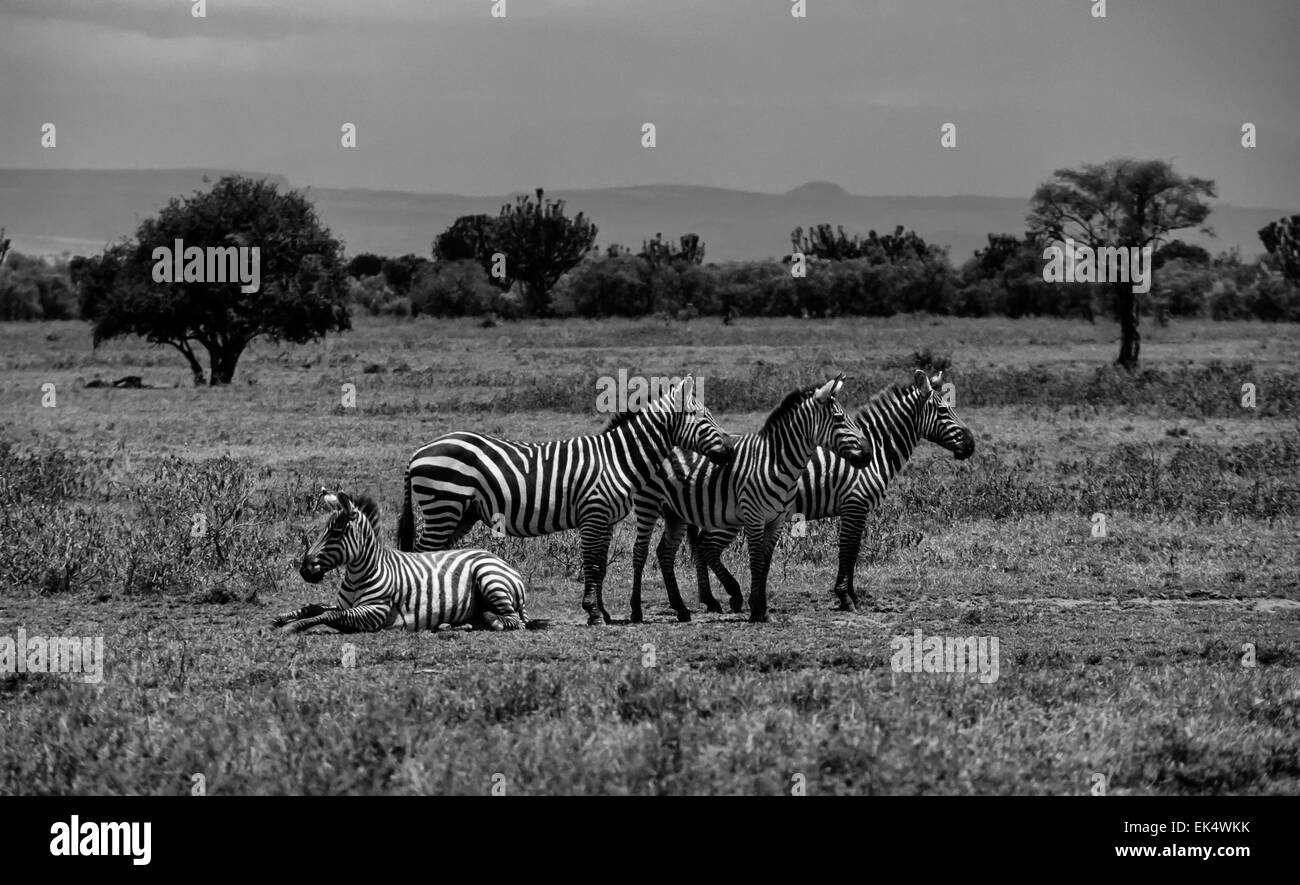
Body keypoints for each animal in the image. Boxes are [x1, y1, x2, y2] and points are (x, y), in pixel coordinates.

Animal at [274, 490, 539, 633]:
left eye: (336, 533)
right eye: (323, 531)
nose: (304, 570)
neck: (360, 572)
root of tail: (501, 561)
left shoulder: (374, 612)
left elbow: (327, 616)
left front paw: (292, 627)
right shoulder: (344, 605)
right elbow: (316, 608)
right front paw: (283, 617)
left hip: (490, 578)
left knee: (512, 621)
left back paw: (488, 619)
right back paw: (453, 625)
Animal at [398, 375, 734, 626]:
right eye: (704, 419)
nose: (730, 453)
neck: (617, 459)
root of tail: (418, 452)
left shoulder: (606, 520)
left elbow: (601, 566)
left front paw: (603, 612)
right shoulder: (594, 514)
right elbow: (592, 564)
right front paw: (594, 613)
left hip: (460, 513)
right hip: (443, 505)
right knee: (423, 554)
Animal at [630, 375, 869, 624]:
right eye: (839, 418)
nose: (868, 454)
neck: (776, 461)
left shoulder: (776, 521)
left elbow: (765, 563)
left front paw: (761, 607)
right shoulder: (754, 517)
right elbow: (755, 561)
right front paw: (755, 609)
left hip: (674, 511)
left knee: (665, 553)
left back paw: (681, 609)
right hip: (648, 503)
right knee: (640, 551)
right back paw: (637, 610)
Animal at [688, 369, 975, 614]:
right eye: (943, 410)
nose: (971, 444)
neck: (877, 451)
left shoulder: (858, 509)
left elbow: (854, 550)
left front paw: (853, 595)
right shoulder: (854, 504)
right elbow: (848, 549)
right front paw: (845, 597)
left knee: (698, 545)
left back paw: (710, 599)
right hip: (729, 514)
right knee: (706, 547)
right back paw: (732, 596)